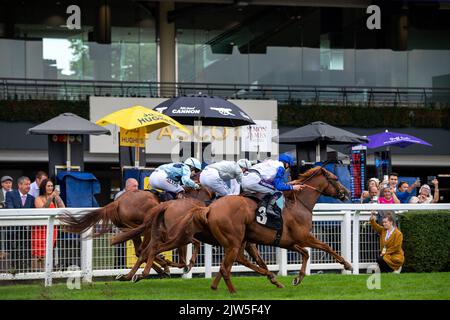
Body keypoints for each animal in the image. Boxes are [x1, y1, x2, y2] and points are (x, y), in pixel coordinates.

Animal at [192, 166, 354, 294]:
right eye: (335, 178)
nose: (347, 193)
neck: (299, 204)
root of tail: (210, 208)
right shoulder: (304, 237)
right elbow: (326, 246)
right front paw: (347, 264)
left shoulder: (287, 241)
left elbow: (306, 253)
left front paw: (298, 278)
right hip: (234, 240)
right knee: (229, 265)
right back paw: (234, 291)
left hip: (239, 240)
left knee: (233, 262)